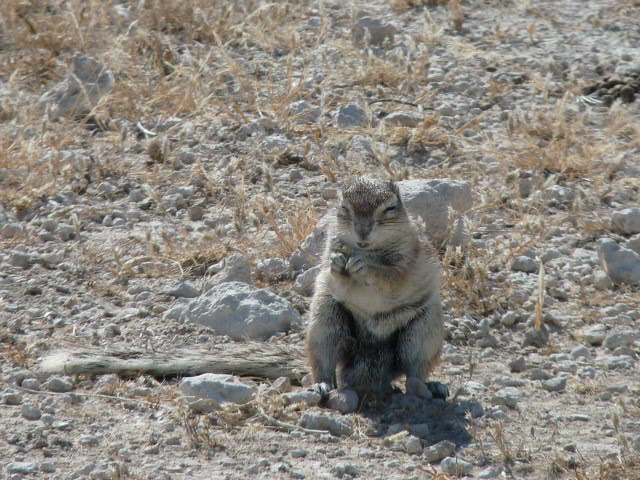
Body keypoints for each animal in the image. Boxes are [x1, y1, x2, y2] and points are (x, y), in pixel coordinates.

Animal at [304, 178, 444, 410]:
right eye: (344, 207)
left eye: (390, 208)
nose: (362, 230)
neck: (367, 250)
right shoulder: (330, 248)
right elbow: (337, 279)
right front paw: (337, 263)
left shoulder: (407, 260)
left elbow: (392, 277)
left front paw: (367, 267)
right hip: (325, 319)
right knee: (325, 359)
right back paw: (321, 385)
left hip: (424, 331)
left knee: (415, 369)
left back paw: (426, 388)